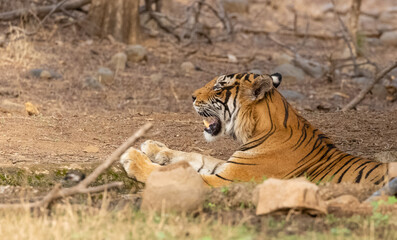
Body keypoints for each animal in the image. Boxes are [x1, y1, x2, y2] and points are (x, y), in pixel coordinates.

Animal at [118, 71, 396, 188]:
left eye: (218, 87)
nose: (192, 96)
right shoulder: (229, 167)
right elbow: (196, 157)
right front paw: (154, 147)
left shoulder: (228, 179)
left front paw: (134, 158)